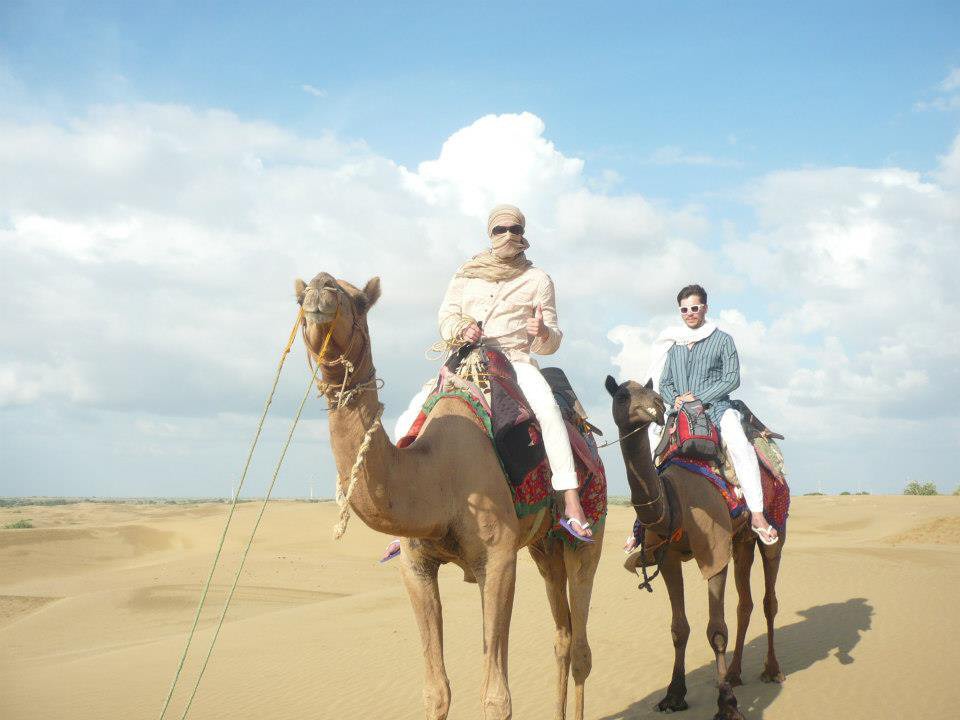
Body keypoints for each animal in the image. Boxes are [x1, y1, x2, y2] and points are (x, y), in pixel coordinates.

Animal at [296, 272, 604, 720]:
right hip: (543, 546)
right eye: (299, 296)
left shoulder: (498, 558)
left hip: (588, 537)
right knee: (562, 635)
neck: (438, 477)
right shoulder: (415, 565)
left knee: (581, 645)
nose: (321, 288)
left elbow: (496, 697)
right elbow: (436, 691)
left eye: (359, 300)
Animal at [608, 376, 788, 720]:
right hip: (740, 541)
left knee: (769, 598)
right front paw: (673, 696)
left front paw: (727, 705)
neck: (674, 501)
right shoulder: (668, 558)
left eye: (650, 391)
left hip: (776, 526)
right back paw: (735, 673)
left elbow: (716, 631)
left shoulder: (714, 553)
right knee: (744, 602)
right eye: (622, 395)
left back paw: (772, 670)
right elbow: (679, 629)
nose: (656, 404)